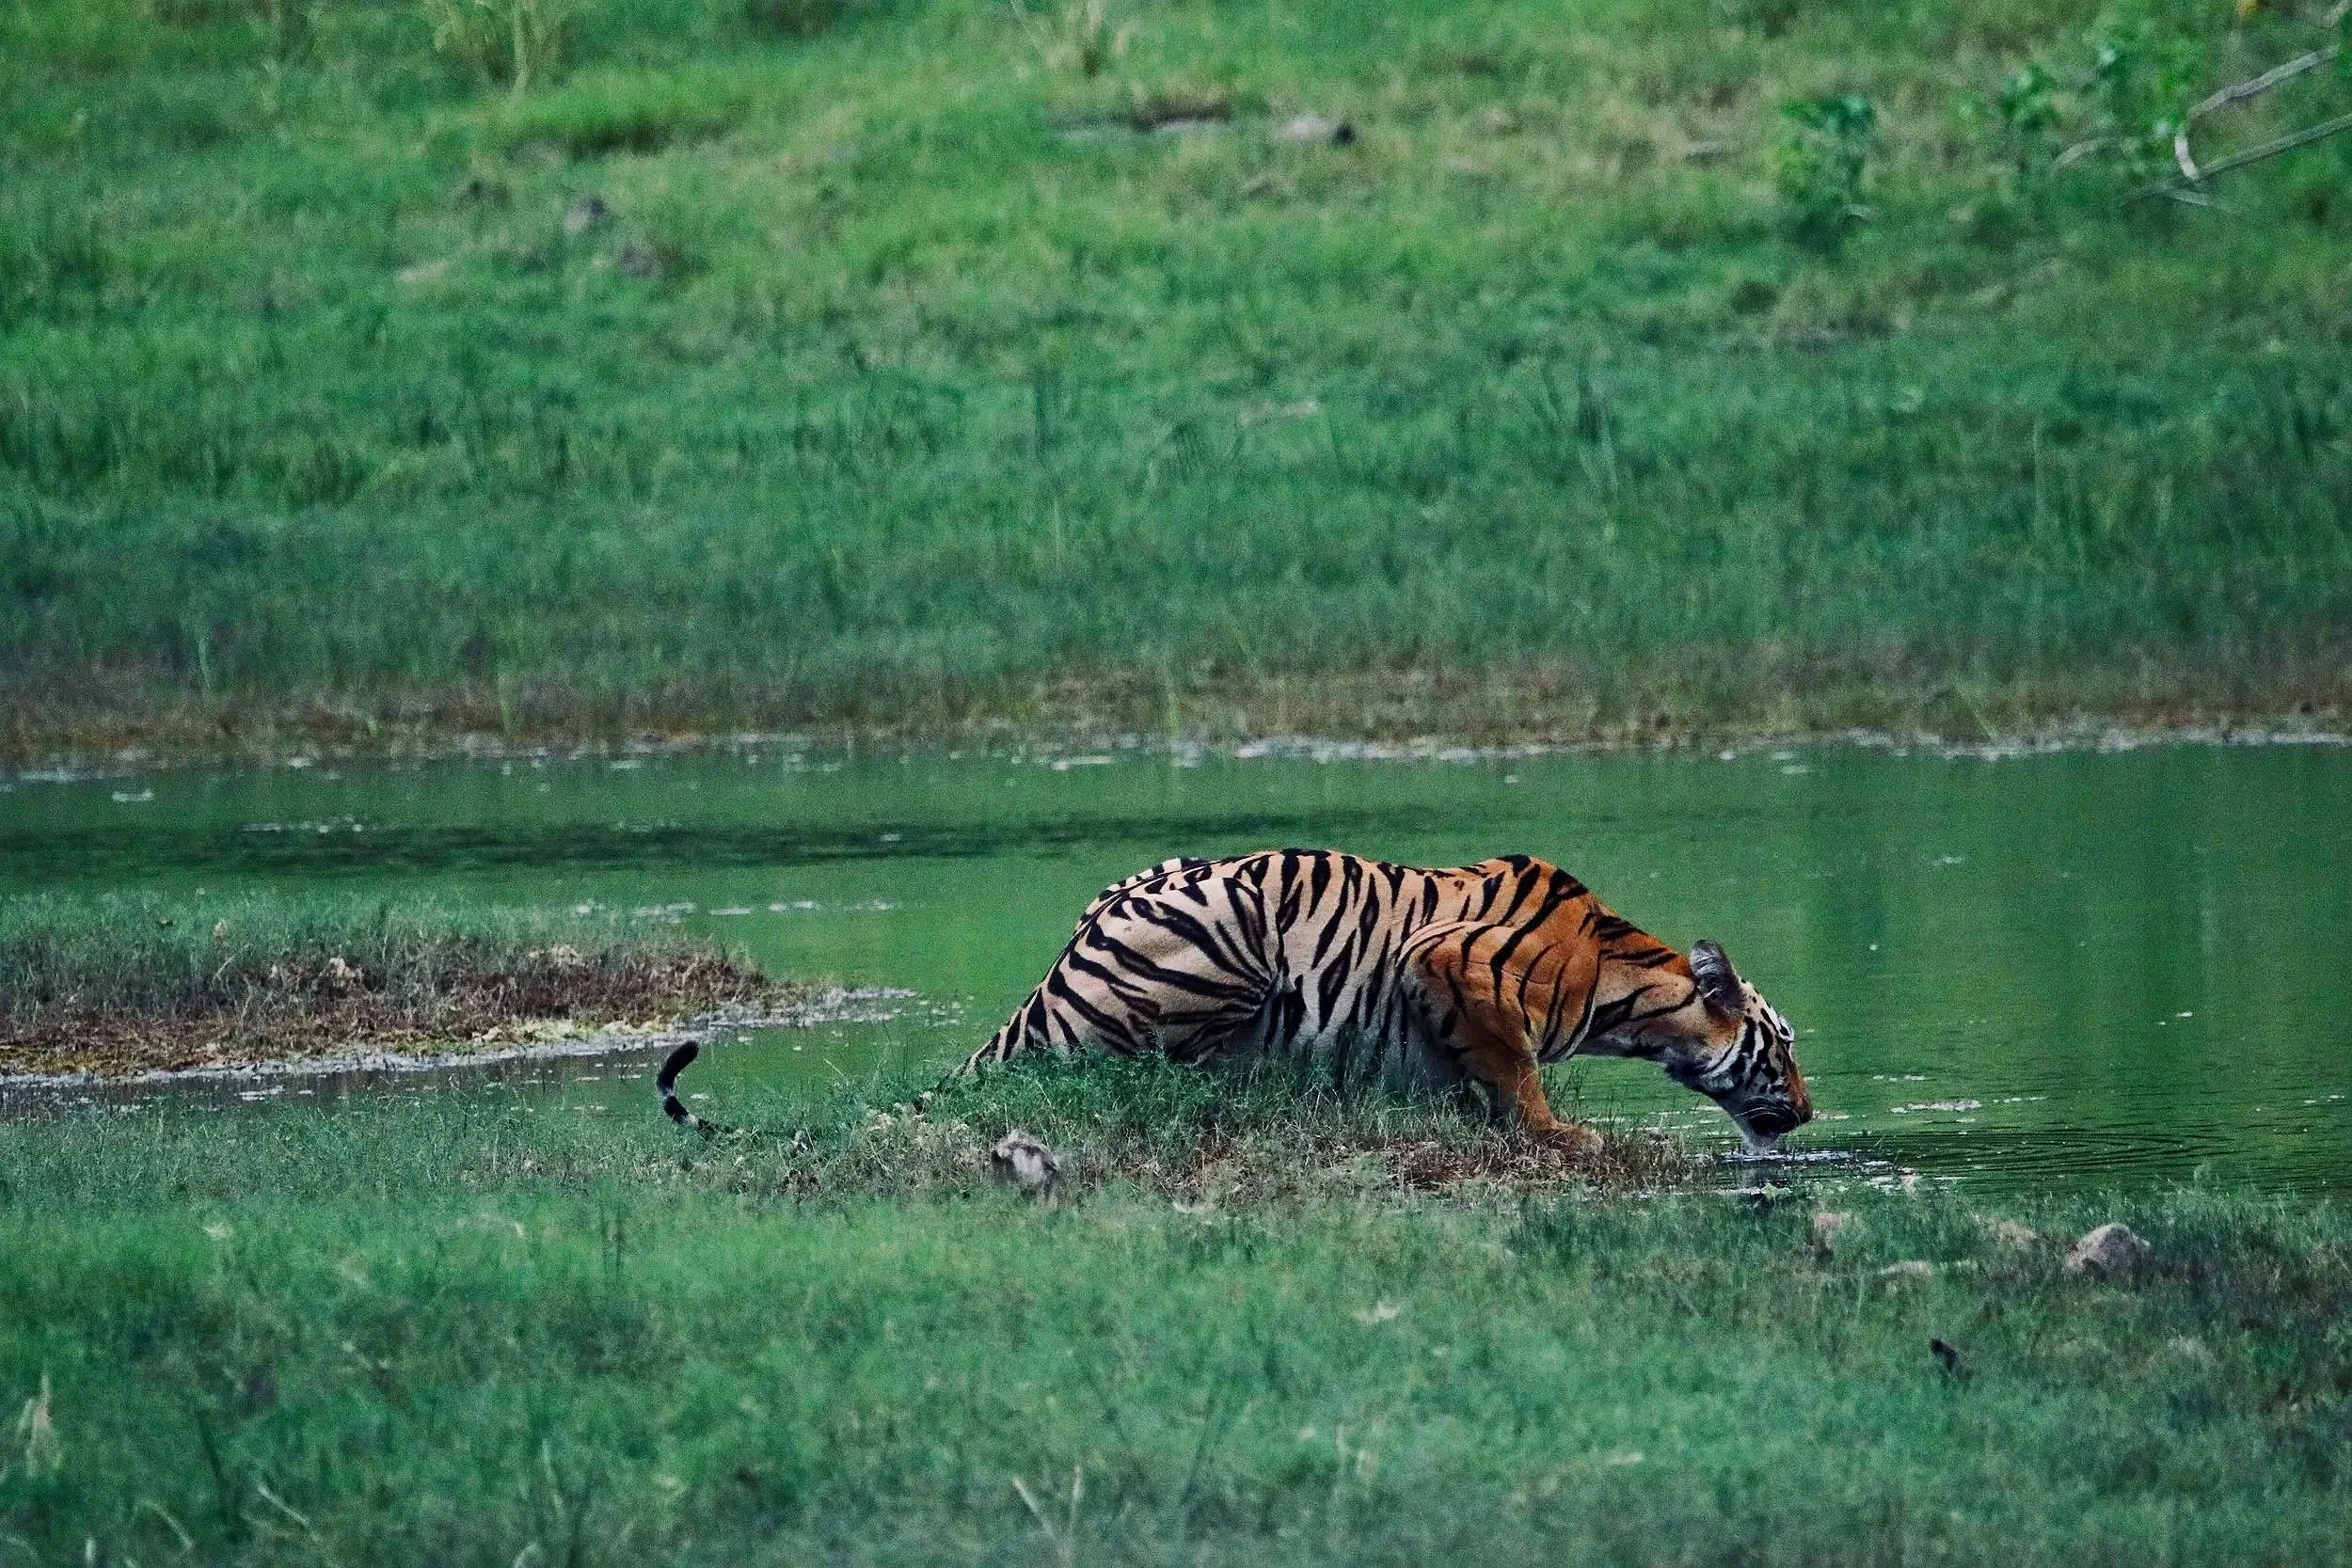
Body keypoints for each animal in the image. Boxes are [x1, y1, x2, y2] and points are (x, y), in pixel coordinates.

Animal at [958, 848, 1814, 1154]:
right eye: (1785, 1044)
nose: (1808, 1114)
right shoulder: (1449, 957)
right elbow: (1517, 1069)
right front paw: (1564, 1134)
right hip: (1235, 917)